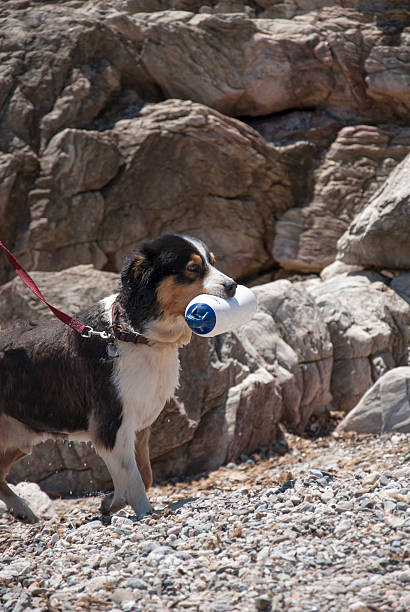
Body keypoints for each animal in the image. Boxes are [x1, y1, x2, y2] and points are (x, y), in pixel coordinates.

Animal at [0, 234, 237, 520]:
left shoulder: (139, 425)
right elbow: (133, 478)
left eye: (212, 261)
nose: (233, 286)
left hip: (19, 440)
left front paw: (111, 502)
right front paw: (145, 512)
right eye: (193, 268)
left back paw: (21, 509)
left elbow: (144, 474)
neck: (133, 334)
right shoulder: (110, 424)